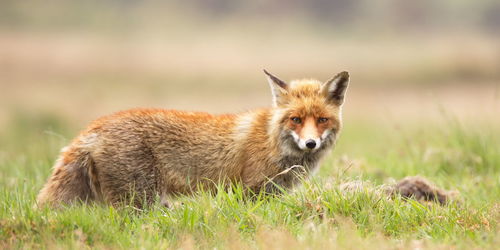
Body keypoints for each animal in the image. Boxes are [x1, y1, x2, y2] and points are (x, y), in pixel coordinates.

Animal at [37, 70, 350, 207]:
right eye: (295, 119)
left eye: (322, 120)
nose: (310, 143)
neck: (272, 140)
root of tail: (94, 127)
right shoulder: (249, 192)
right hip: (140, 201)